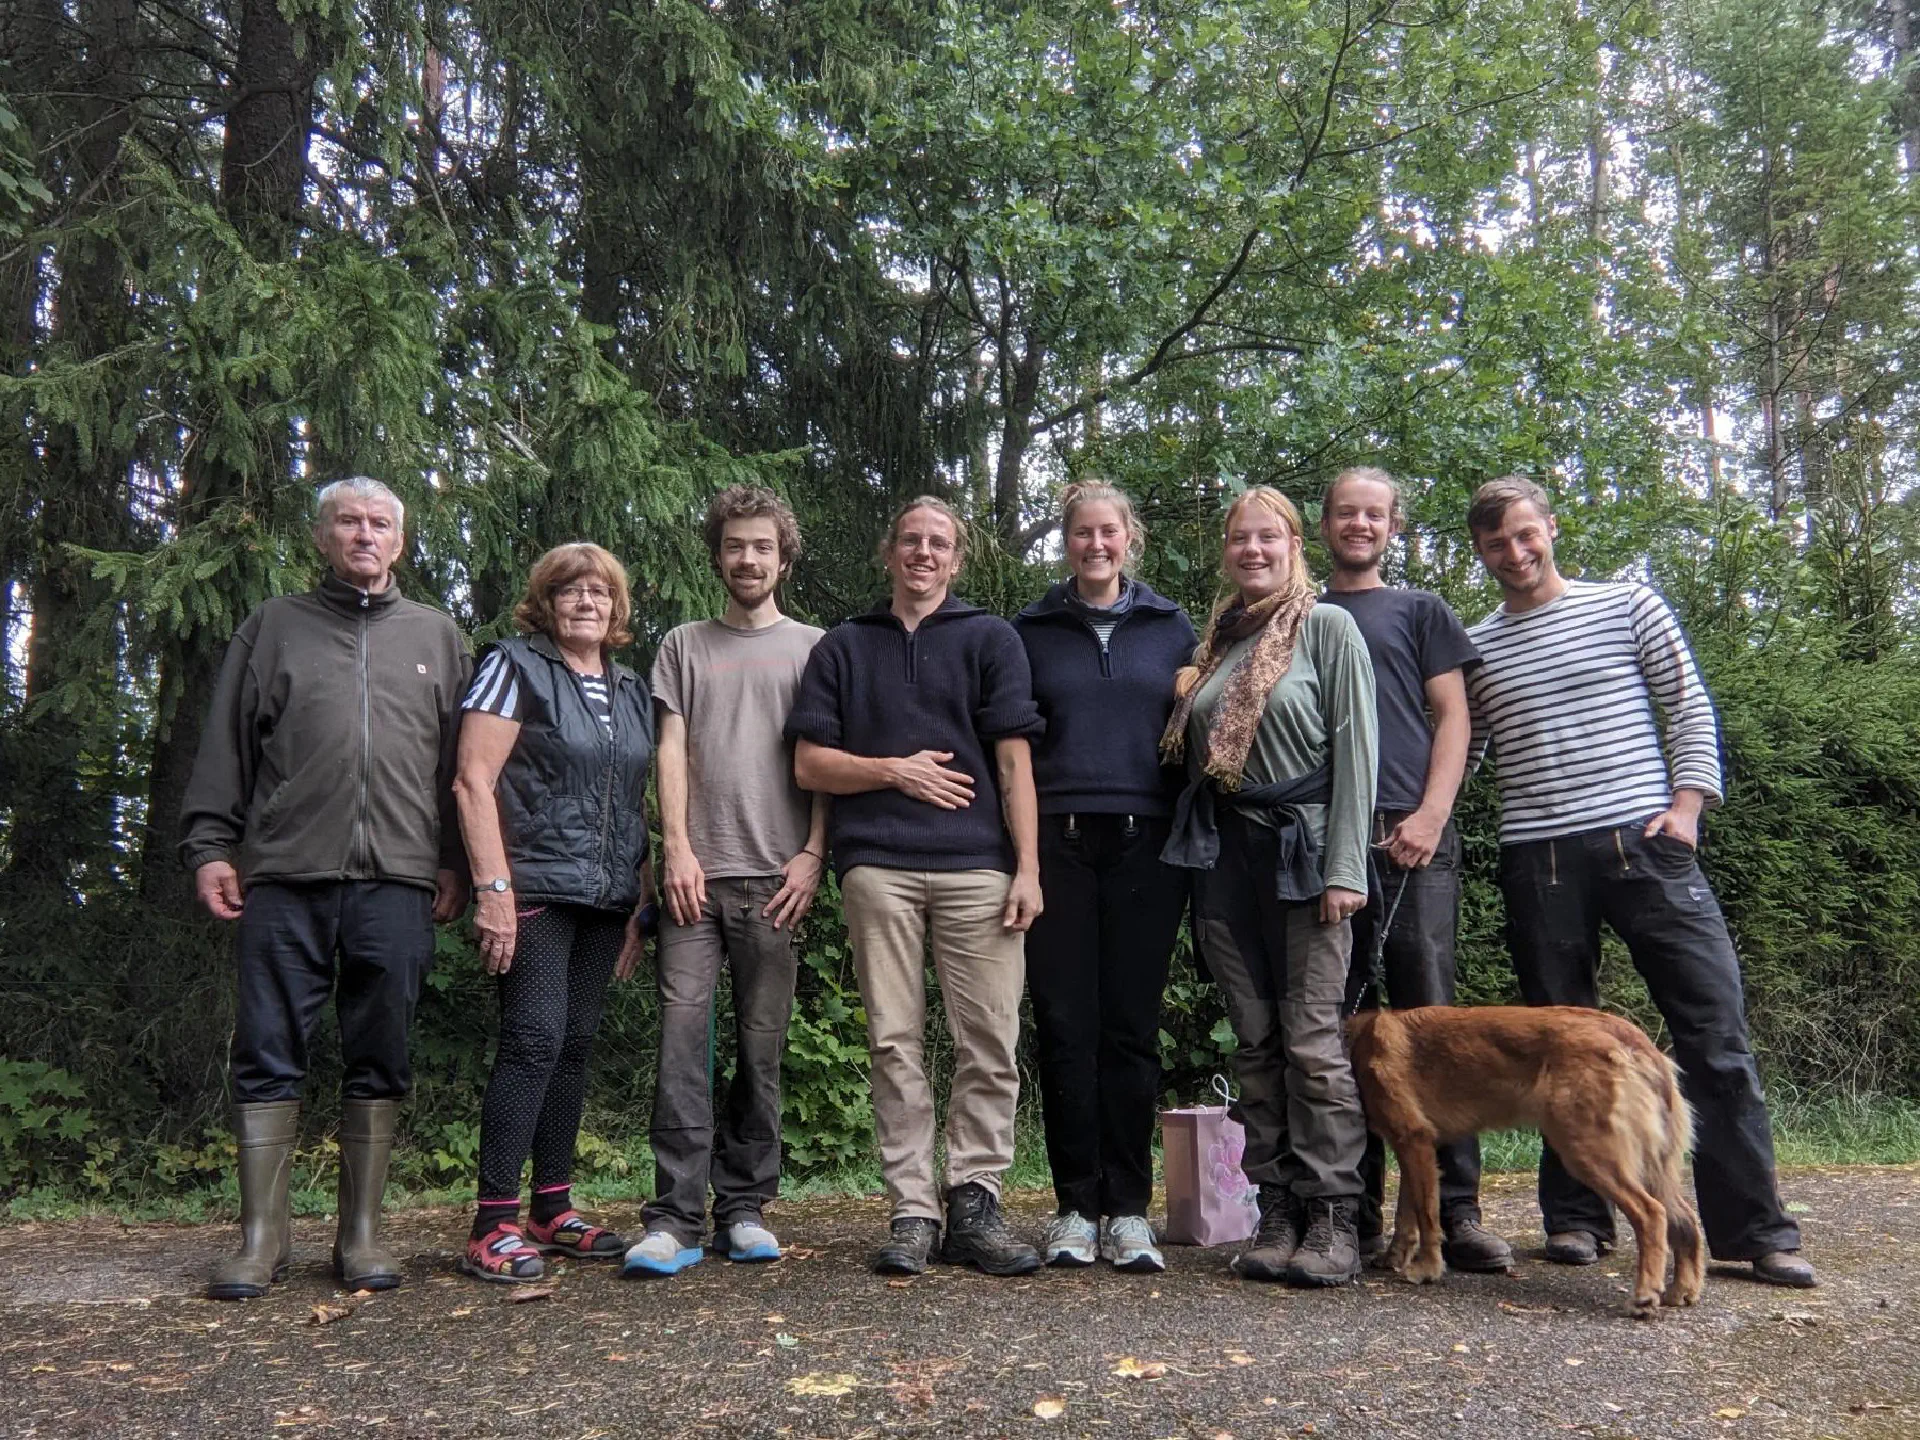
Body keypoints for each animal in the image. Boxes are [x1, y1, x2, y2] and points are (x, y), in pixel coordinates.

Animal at [1344, 1006, 1704, 1328]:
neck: (1356, 1041)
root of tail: (1634, 1038)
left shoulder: (1414, 1140)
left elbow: (1426, 1216)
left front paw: (1428, 1268)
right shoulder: (1412, 1149)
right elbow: (1407, 1216)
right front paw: (1394, 1258)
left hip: (1588, 1151)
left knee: (1651, 1214)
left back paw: (1644, 1295)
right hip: (1649, 1163)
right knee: (1686, 1218)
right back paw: (1682, 1290)